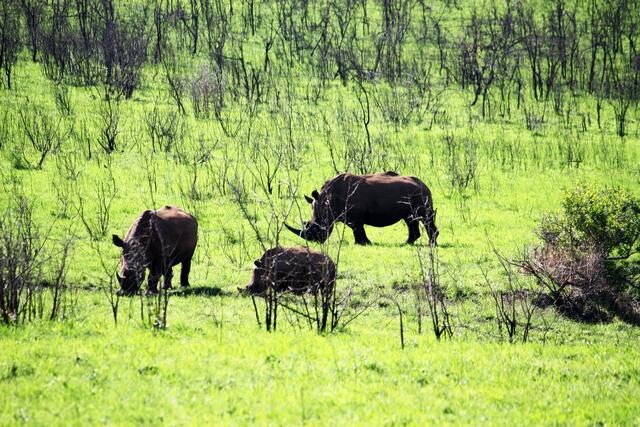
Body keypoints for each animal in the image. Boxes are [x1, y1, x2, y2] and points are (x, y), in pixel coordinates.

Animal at [285, 172, 439, 245]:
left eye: (317, 228)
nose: (315, 241)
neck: (327, 202)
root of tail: (424, 184)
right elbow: (357, 229)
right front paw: (366, 243)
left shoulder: (355, 216)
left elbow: (357, 229)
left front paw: (363, 243)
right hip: (414, 194)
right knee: (410, 219)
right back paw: (406, 243)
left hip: (420, 194)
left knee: (425, 217)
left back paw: (431, 244)